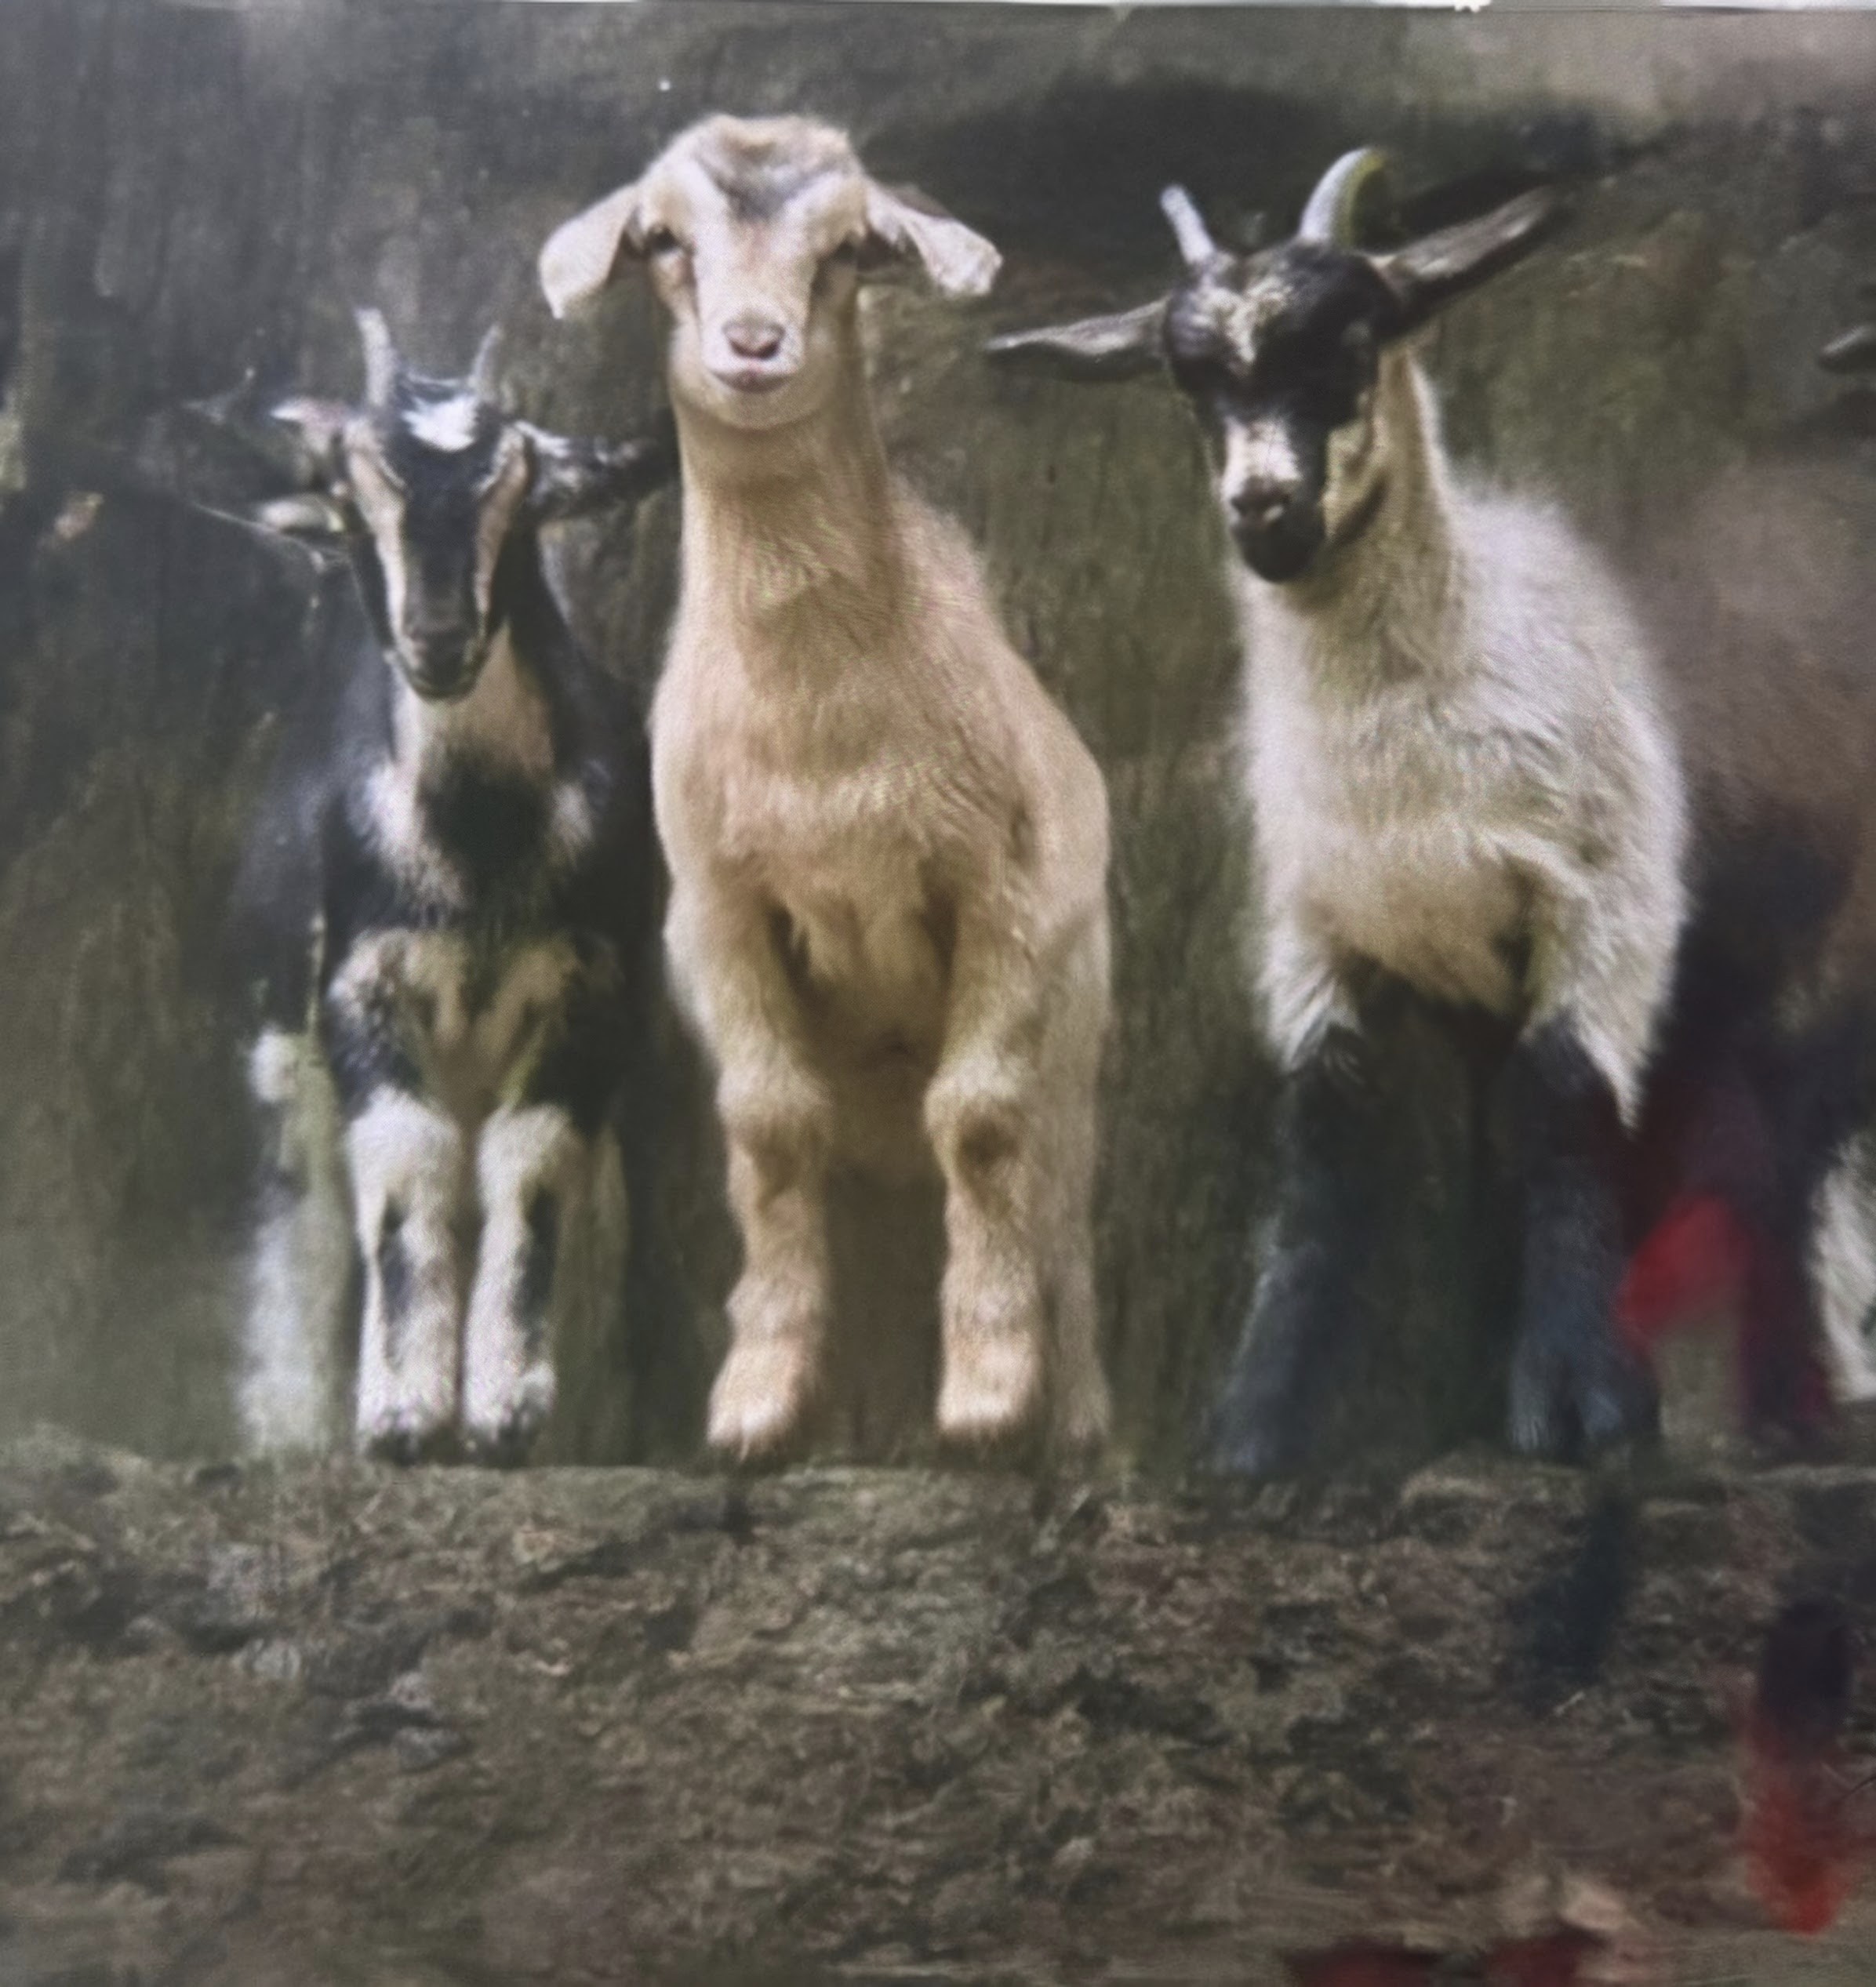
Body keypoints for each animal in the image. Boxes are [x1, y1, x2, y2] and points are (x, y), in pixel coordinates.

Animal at [221, 311, 674, 1462]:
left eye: (523, 493)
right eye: (352, 497)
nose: (436, 638)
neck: (476, 850)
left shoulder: (595, 990)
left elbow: (536, 1164)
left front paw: (509, 1410)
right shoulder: (358, 986)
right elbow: (401, 1159)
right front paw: (401, 1415)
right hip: (282, 1054)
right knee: (299, 1225)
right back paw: (290, 1430)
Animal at [538, 114, 1113, 1463]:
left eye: (849, 247)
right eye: (663, 237)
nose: (754, 343)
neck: (824, 741)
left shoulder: (1004, 880)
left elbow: (982, 1116)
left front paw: (990, 1394)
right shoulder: (718, 903)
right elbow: (769, 1125)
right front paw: (756, 1405)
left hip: (1079, 1043)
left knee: (1058, 1208)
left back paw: (1073, 1425)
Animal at [989, 149, 1687, 1474]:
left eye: (1354, 341)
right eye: (1190, 382)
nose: (1263, 507)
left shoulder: (1603, 899)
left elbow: (1566, 1103)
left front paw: (1584, 1403)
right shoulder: (1314, 935)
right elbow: (1324, 1149)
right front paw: (1259, 1427)